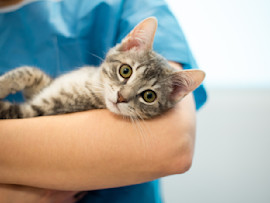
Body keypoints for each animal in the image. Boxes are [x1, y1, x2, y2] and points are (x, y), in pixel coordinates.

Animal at [0, 17, 205, 119]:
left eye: (149, 96)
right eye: (125, 71)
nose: (121, 97)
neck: (90, 83)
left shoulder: (36, 111)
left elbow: (8, 110)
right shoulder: (42, 86)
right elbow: (30, 72)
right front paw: (5, 83)